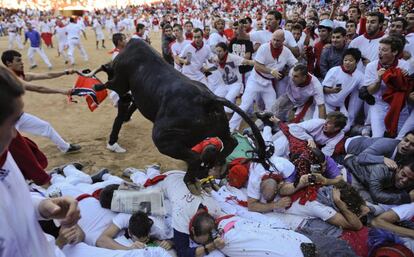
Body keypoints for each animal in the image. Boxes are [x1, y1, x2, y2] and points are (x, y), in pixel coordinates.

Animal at [92, 38, 270, 184]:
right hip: (220, 128)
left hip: (162, 137)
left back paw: (191, 177)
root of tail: (208, 99)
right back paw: (209, 165)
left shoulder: (120, 82)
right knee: (230, 142)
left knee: (195, 156)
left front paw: (97, 86)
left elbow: (111, 85)